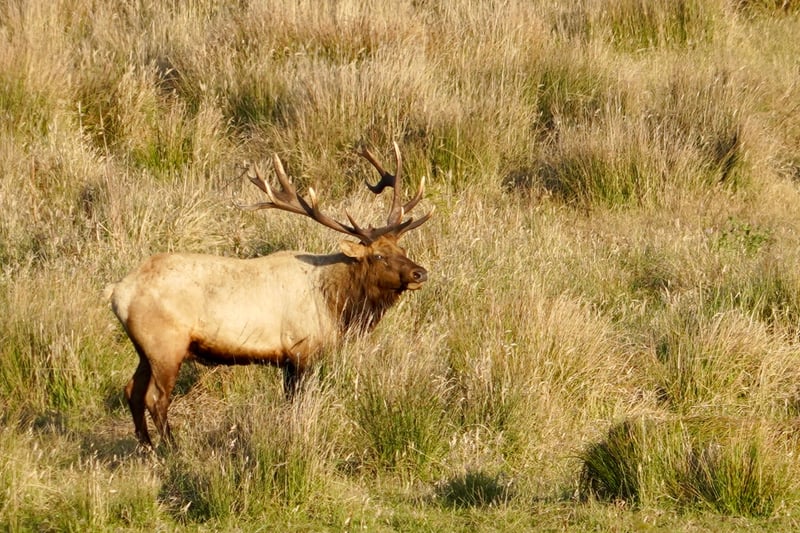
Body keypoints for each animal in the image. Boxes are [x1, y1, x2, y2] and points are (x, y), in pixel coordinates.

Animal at [107, 142, 432, 448]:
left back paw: (147, 447)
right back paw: (170, 448)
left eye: (402, 249)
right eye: (378, 256)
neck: (337, 305)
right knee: (155, 397)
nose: (420, 273)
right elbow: (297, 403)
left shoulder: (287, 360)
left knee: (132, 390)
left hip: (145, 348)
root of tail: (117, 293)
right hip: (166, 343)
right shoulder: (301, 350)